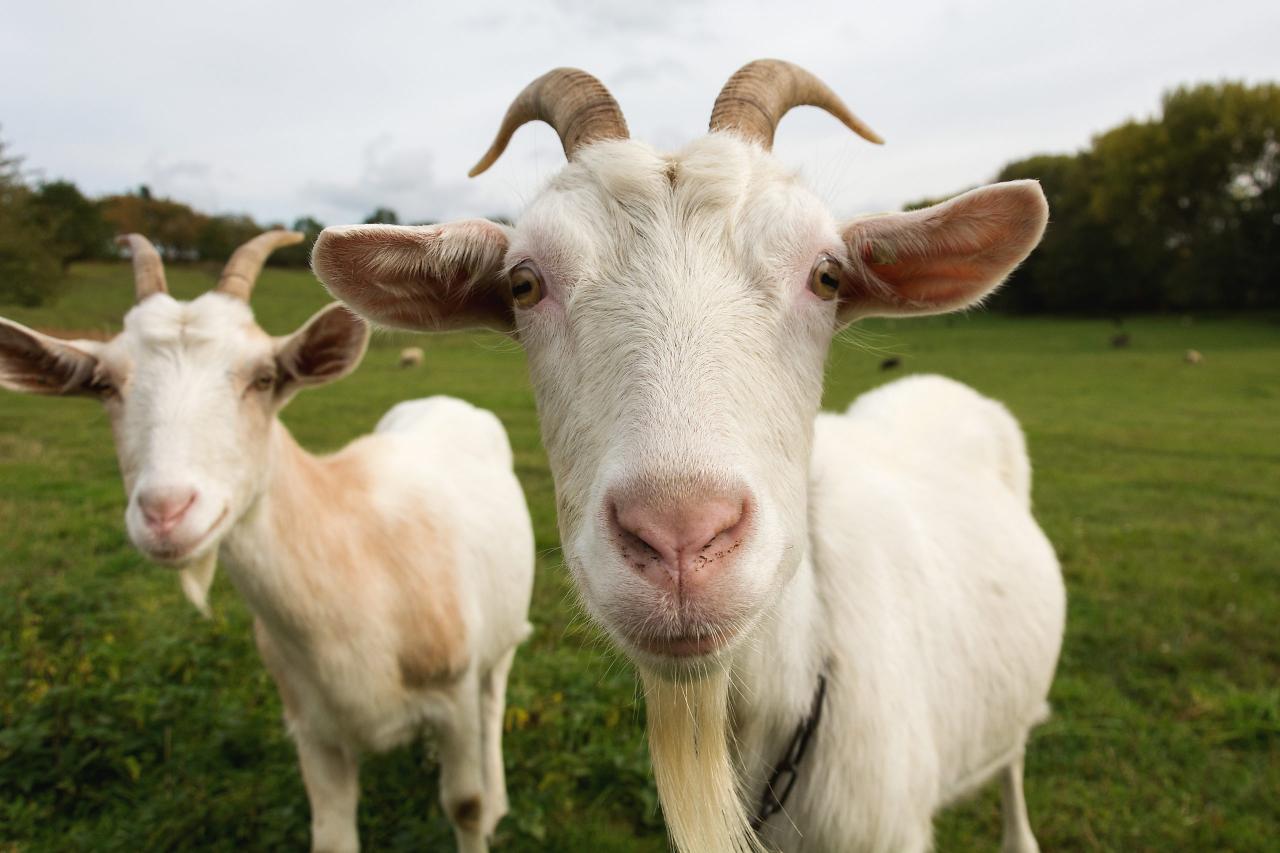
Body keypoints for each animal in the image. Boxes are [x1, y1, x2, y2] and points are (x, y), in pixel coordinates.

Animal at [0, 230, 532, 850]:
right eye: (105, 384)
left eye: (263, 378)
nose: (166, 512)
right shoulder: (313, 730)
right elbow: (331, 834)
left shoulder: (452, 696)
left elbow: (464, 805)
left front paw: (482, 810)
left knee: (494, 698)